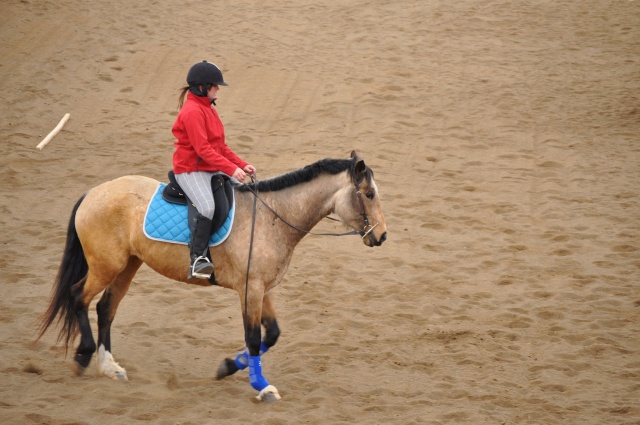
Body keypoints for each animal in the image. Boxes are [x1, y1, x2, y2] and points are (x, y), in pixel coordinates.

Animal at [37, 151, 388, 402]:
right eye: (369, 194)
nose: (382, 236)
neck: (273, 217)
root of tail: (92, 193)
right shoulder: (250, 289)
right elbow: (254, 338)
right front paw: (261, 386)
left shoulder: (264, 288)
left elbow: (271, 334)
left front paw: (229, 366)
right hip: (105, 266)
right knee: (79, 297)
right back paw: (84, 356)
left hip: (128, 265)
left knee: (105, 308)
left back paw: (110, 367)